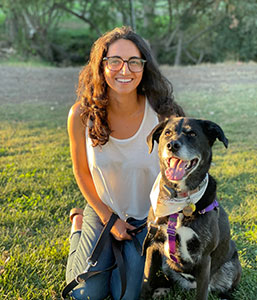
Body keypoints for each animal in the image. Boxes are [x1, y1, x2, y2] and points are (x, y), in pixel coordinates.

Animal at [141, 117, 241, 300]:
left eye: (192, 134)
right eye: (167, 133)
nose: (172, 145)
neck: (179, 202)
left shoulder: (204, 258)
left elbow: (202, 293)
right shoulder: (153, 245)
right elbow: (145, 282)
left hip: (233, 266)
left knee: (226, 288)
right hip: (166, 262)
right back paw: (162, 289)